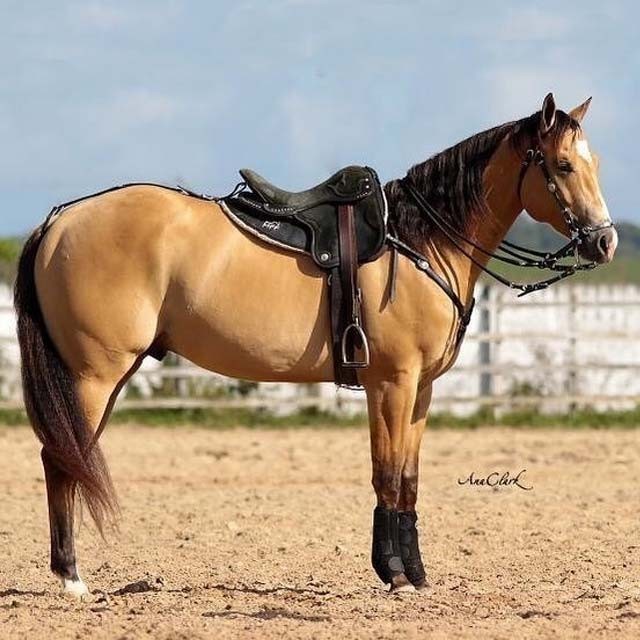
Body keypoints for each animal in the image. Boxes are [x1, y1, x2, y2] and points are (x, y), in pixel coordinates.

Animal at [14, 93, 616, 598]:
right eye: (564, 166)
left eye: (595, 165)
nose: (605, 241)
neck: (420, 242)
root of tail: (60, 221)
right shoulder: (391, 384)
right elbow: (386, 474)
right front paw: (394, 574)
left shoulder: (420, 391)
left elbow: (409, 480)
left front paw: (416, 575)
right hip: (94, 375)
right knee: (61, 459)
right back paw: (71, 578)